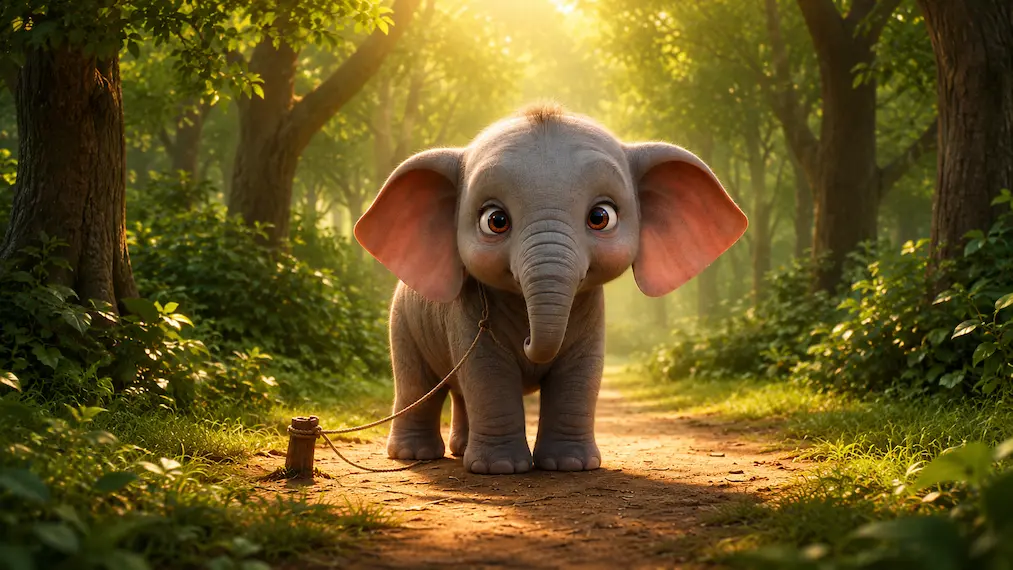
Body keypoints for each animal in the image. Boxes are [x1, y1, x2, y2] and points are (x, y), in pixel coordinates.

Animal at [353, 104, 747, 475]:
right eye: (495, 221)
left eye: (601, 217)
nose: (528, 341)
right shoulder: (464, 313)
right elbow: (488, 372)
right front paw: (500, 469)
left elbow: (581, 372)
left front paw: (571, 465)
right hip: (402, 322)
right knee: (418, 385)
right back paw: (413, 455)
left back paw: (460, 451)